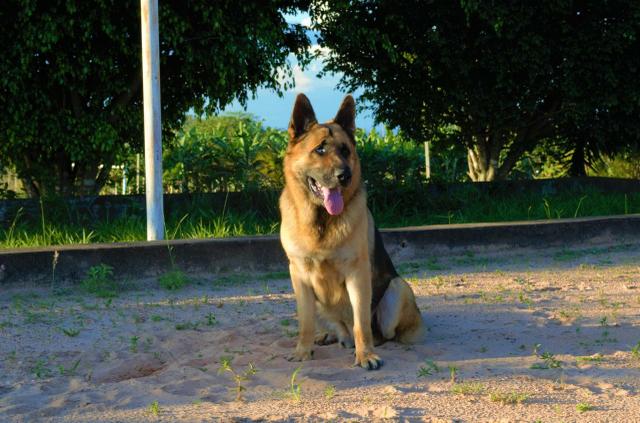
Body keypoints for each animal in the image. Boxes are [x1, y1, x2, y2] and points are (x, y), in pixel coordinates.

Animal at [278, 94, 420, 370]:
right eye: (320, 149)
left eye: (345, 150)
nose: (345, 175)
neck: (321, 221)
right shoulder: (298, 275)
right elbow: (305, 323)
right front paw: (303, 351)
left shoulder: (357, 274)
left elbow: (361, 324)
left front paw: (365, 355)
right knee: (333, 325)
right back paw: (330, 335)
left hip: (397, 288)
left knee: (382, 331)